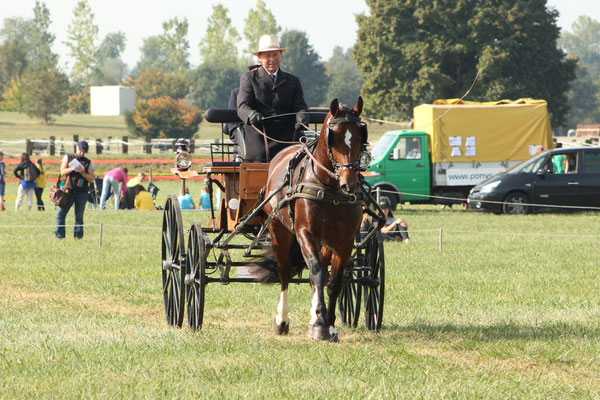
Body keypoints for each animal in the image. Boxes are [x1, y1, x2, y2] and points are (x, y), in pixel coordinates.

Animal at [250, 97, 370, 340]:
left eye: (360, 136)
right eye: (334, 137)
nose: (349, 184)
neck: (330, 188)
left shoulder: (344, 241)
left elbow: (334, 282)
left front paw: (328, 323)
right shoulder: (305, 233)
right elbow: (316, 272)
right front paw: (320, 325)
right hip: (279, 231)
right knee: (284, 272)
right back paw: (282, 320)